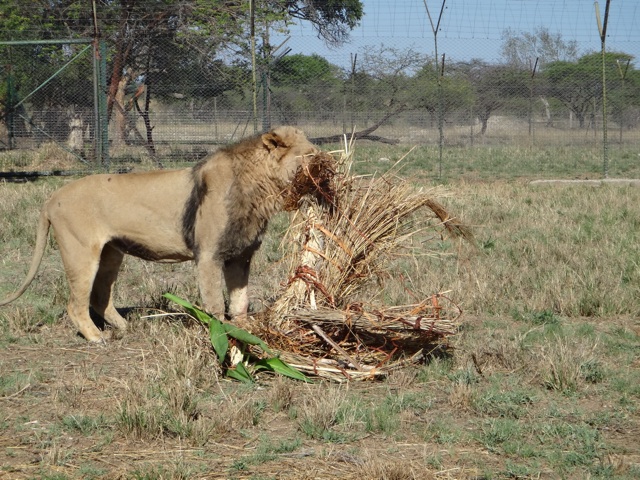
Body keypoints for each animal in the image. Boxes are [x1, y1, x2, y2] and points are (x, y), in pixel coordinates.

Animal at [0, 126, 318, 342]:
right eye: (311, 156)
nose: (327, 165)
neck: (260, 190)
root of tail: (50, 199)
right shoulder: (208, 256)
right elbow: (215, 303)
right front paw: (221, 334)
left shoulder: (241, 256)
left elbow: (241, 299)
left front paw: (245, 331)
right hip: (80, 254)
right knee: (75, 304)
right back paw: (96, 337)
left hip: (111, 253)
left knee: (101, 296)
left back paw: (127, 327)